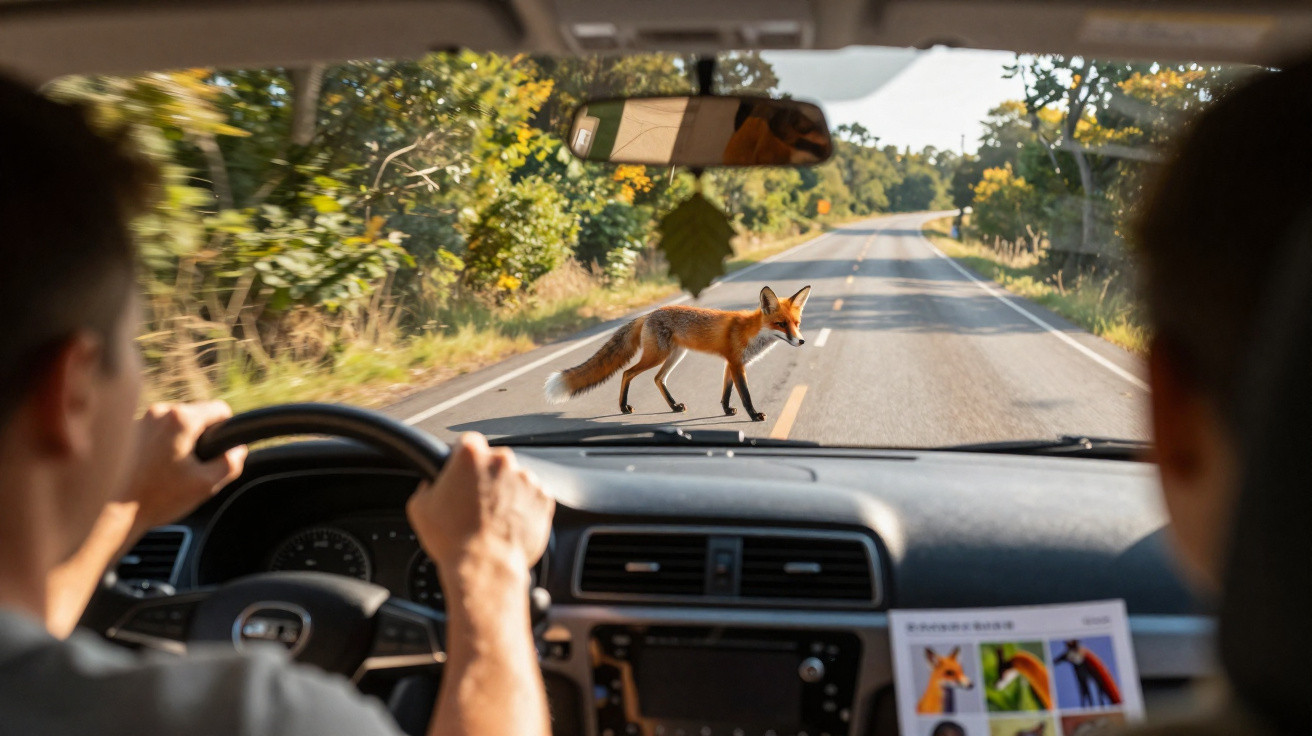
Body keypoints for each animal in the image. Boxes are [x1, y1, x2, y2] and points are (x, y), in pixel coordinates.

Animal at [544, 285, 811, 422]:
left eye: (797, 323)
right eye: (781, 324)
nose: (801, 341)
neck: (751, 331)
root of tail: (649, 313)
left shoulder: (730, 364)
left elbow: (726, 393)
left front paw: (726, 410)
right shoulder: (737, 364)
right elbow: (745, 395)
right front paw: (754, 414)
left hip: (675, 356)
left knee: (657, 378)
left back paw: (673, 406)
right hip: (657, 356)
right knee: (628, 373)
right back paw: (623, 407)